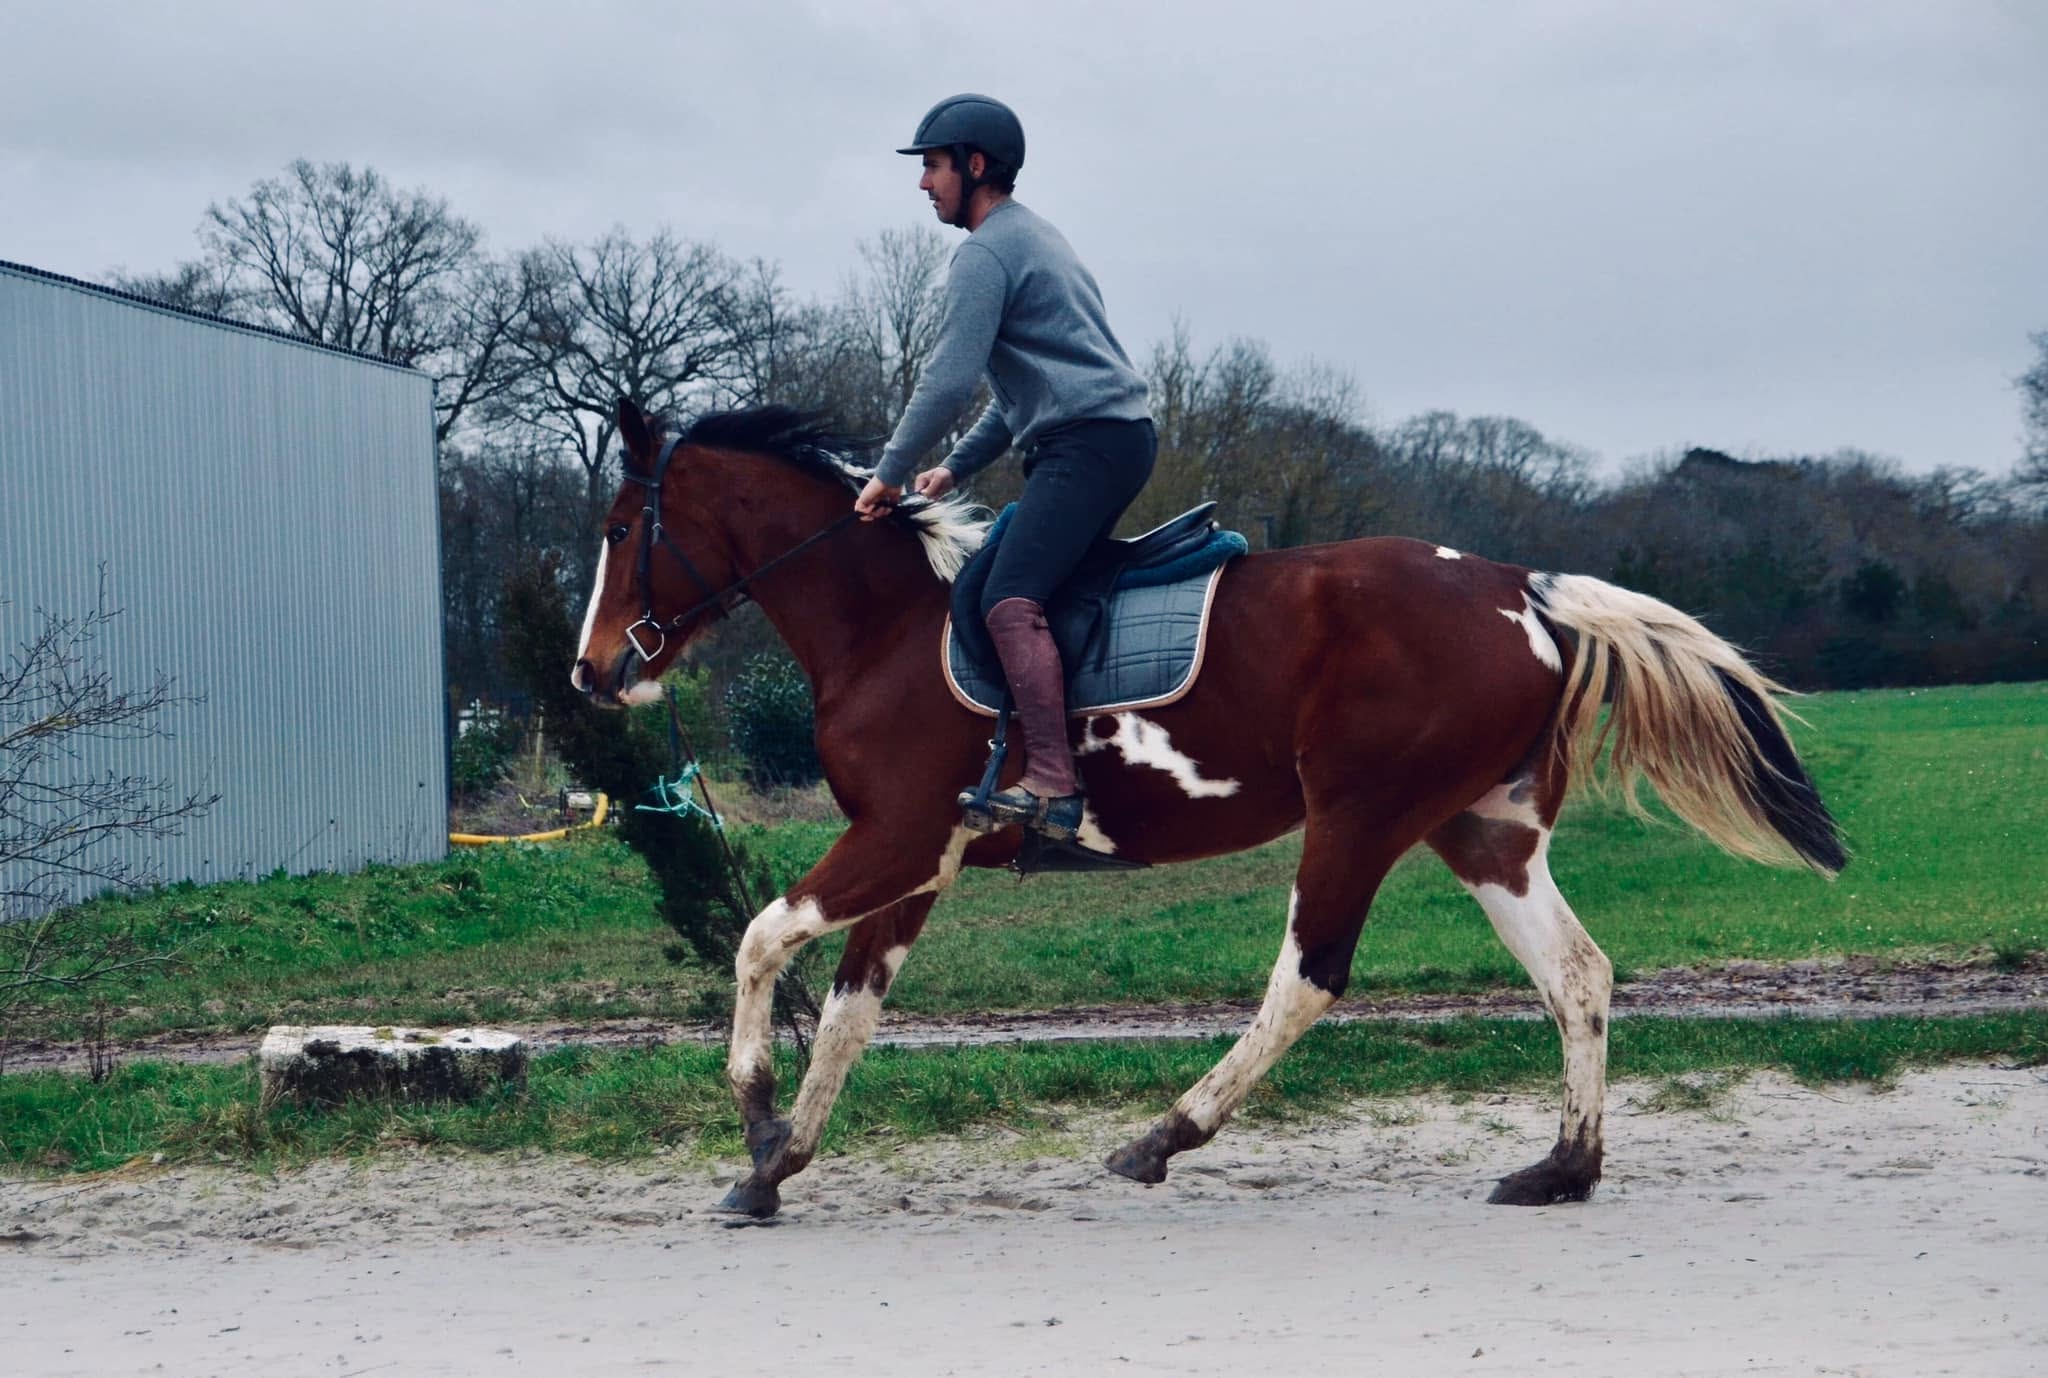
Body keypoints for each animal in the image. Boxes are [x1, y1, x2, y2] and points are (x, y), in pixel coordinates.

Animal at [572, 399, 1845, 1219]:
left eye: (619, 530)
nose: (591, 674)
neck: (886, 622)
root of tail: (1515, 589)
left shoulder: (893, 837)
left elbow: (757, 938)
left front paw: (753, 1114)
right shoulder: (918, 862)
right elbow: (846, 1013)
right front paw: (777, 1161)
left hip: (1357, 816)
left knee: (1308, 977)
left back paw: (1163, 1135)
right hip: (1481, 829)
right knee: (1574, 973)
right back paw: (1561, 1167)